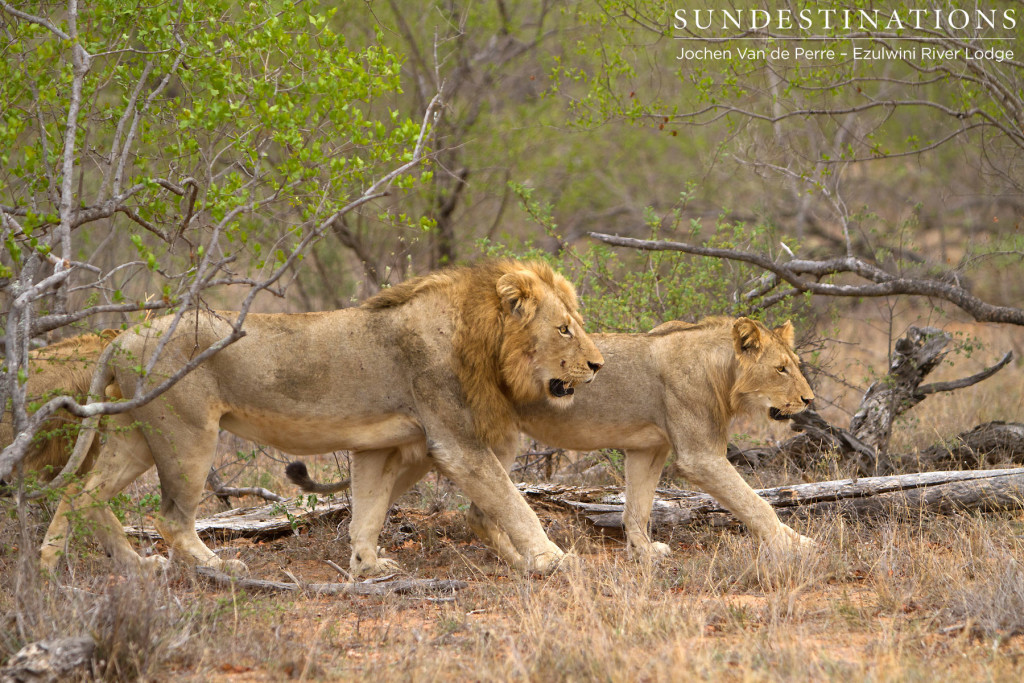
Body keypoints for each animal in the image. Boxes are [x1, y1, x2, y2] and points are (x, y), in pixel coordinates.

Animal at [44, 262, 602, 577]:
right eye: (565, 329)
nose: (598, 366)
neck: (482, 337)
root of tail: (122, 335)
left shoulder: (379, 445)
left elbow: (369, 509)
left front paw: (368, 566)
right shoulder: (457, 443)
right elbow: (514, 503)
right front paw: (553, 559)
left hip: (135, 436)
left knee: (80, 494)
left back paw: (91, 567)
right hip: (188, 435)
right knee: (171, 518)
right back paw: (219, 567)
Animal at [288, 317, 815, 565]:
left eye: (796, 364)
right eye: (781, 369)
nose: (809, 400)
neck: (722, 373)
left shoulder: (649, 448)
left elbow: (638, 508)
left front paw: (644, 553)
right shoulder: (698, 456)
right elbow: (754, 502)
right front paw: (795, 543)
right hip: (490, 435)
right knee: (481, 508)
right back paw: (533, 559)